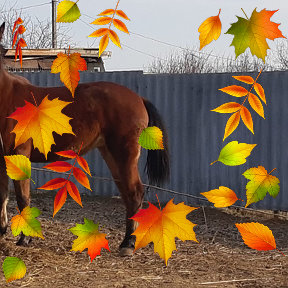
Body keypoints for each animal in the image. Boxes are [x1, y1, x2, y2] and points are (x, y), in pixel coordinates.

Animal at [0, 23, 169, 256]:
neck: (7, 97)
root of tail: (138, 98)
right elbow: (3, 194)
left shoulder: (19, 154)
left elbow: (22, 196)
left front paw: (25, 238)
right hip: (111, 154)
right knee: (127, 192)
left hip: (124, 153)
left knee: (135, 191)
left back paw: (128, 243)